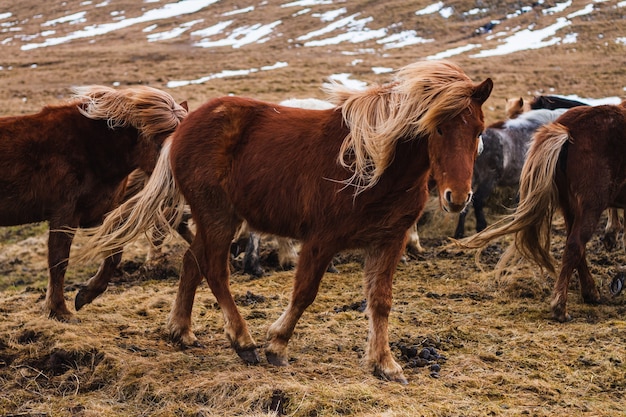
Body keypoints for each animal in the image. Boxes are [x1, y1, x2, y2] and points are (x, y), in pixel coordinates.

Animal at [0, 86, 188, 320]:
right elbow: (59, 262)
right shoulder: (64, 215)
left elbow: (114, 252)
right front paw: (59, 310)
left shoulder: (99, 213)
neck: (92, 148)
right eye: (161, 144)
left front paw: (86, 294)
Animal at [75, 60, 490, 382]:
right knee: (214, 269)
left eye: (478, 130)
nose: (457, 197)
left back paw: (182, 331)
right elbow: (304, 292)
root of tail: (186, 122)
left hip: (217, 218)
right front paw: (276, 344)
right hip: (218, 215)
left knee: (193, 261)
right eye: (437, 127)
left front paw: (384, 364)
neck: (375, 164)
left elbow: (381, 301)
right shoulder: (322, 239)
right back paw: (243, 341)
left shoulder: (389, 240)